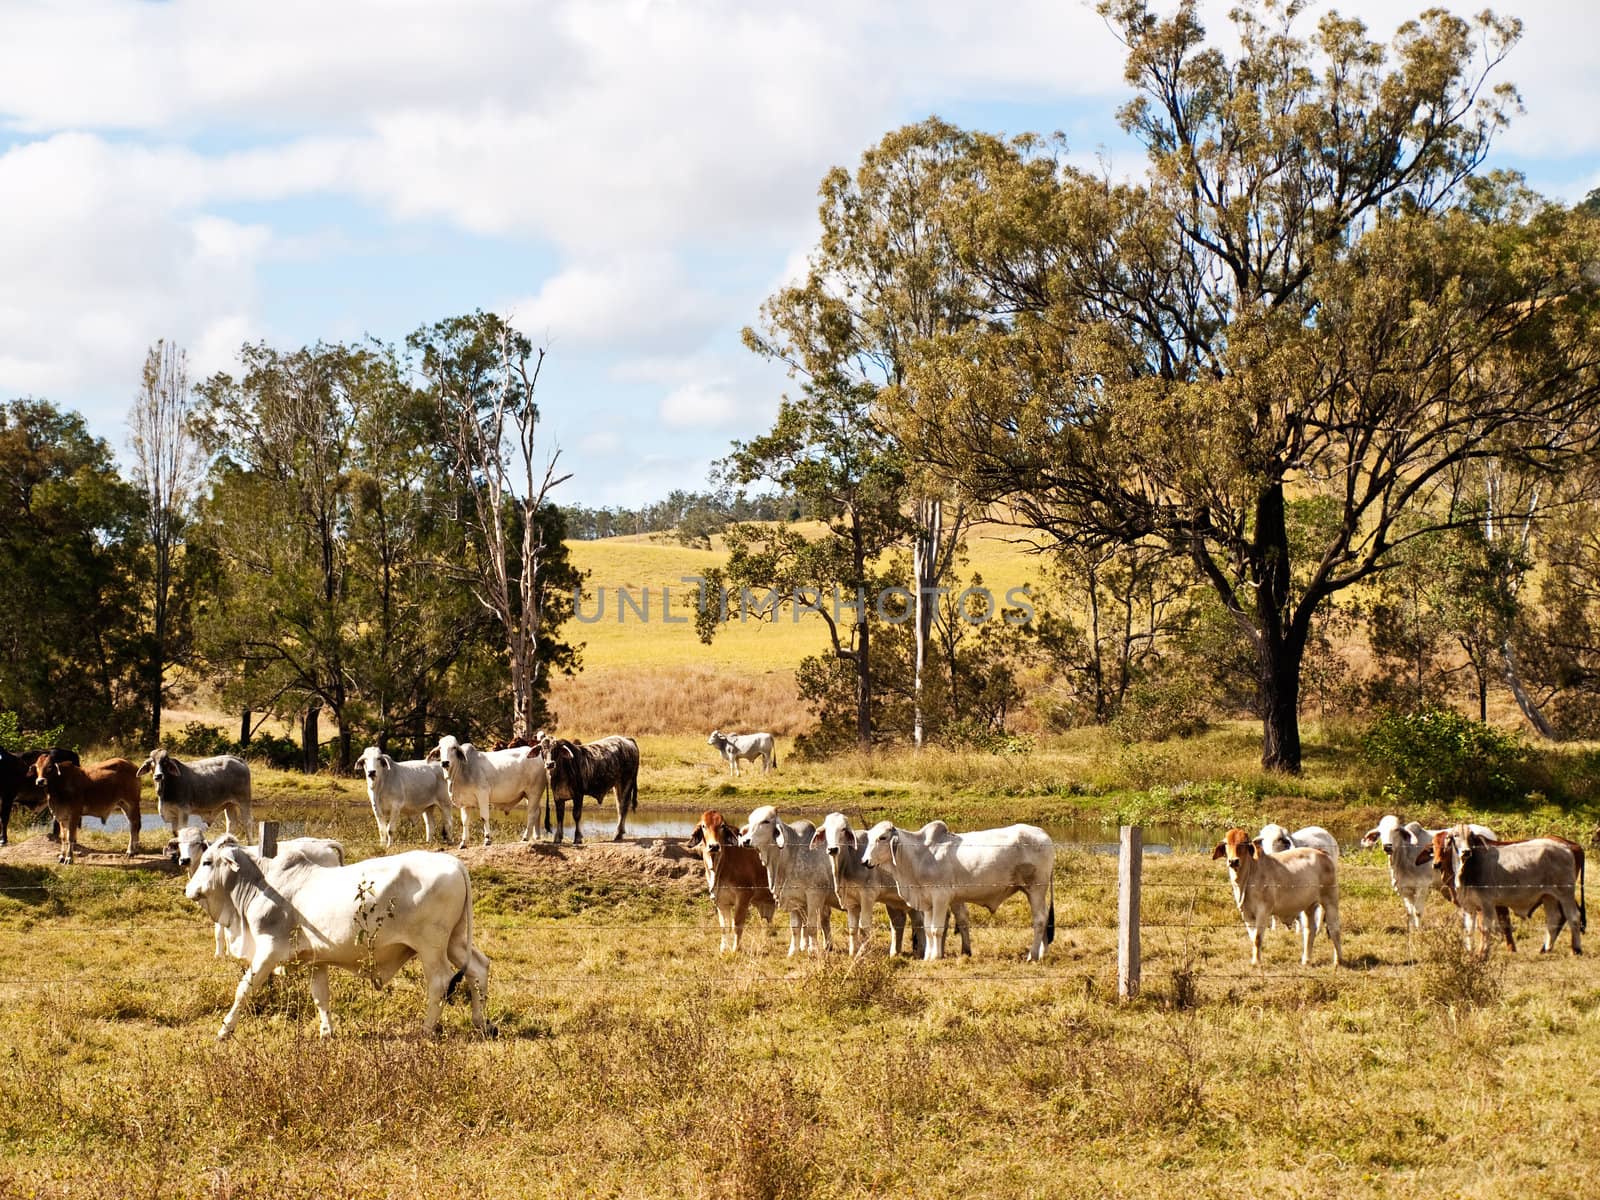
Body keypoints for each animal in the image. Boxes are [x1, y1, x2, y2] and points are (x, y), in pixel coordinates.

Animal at [684, 812, 777, 953]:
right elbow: (724, 927)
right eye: (704, 826)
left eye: (722, 826)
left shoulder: (743, 896)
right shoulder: (721, 901)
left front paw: (735, 949)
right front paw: (723, 949)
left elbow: (737, 924)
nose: (714, 846)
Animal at [1209, 825, 1337, 966]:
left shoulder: (1263, 911)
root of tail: (1321, 852)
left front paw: (1257, 962)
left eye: (1244, 843)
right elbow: (1253, 938)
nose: (1233, 861)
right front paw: (1254, 960)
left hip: (1330, 899)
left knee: (1334, 927)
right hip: (1309, 905)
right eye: (1226, 843)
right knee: (1310, 930)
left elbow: (1258, 938)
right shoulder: (1246, 914)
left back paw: (1337, 960)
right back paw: (1306, 960)